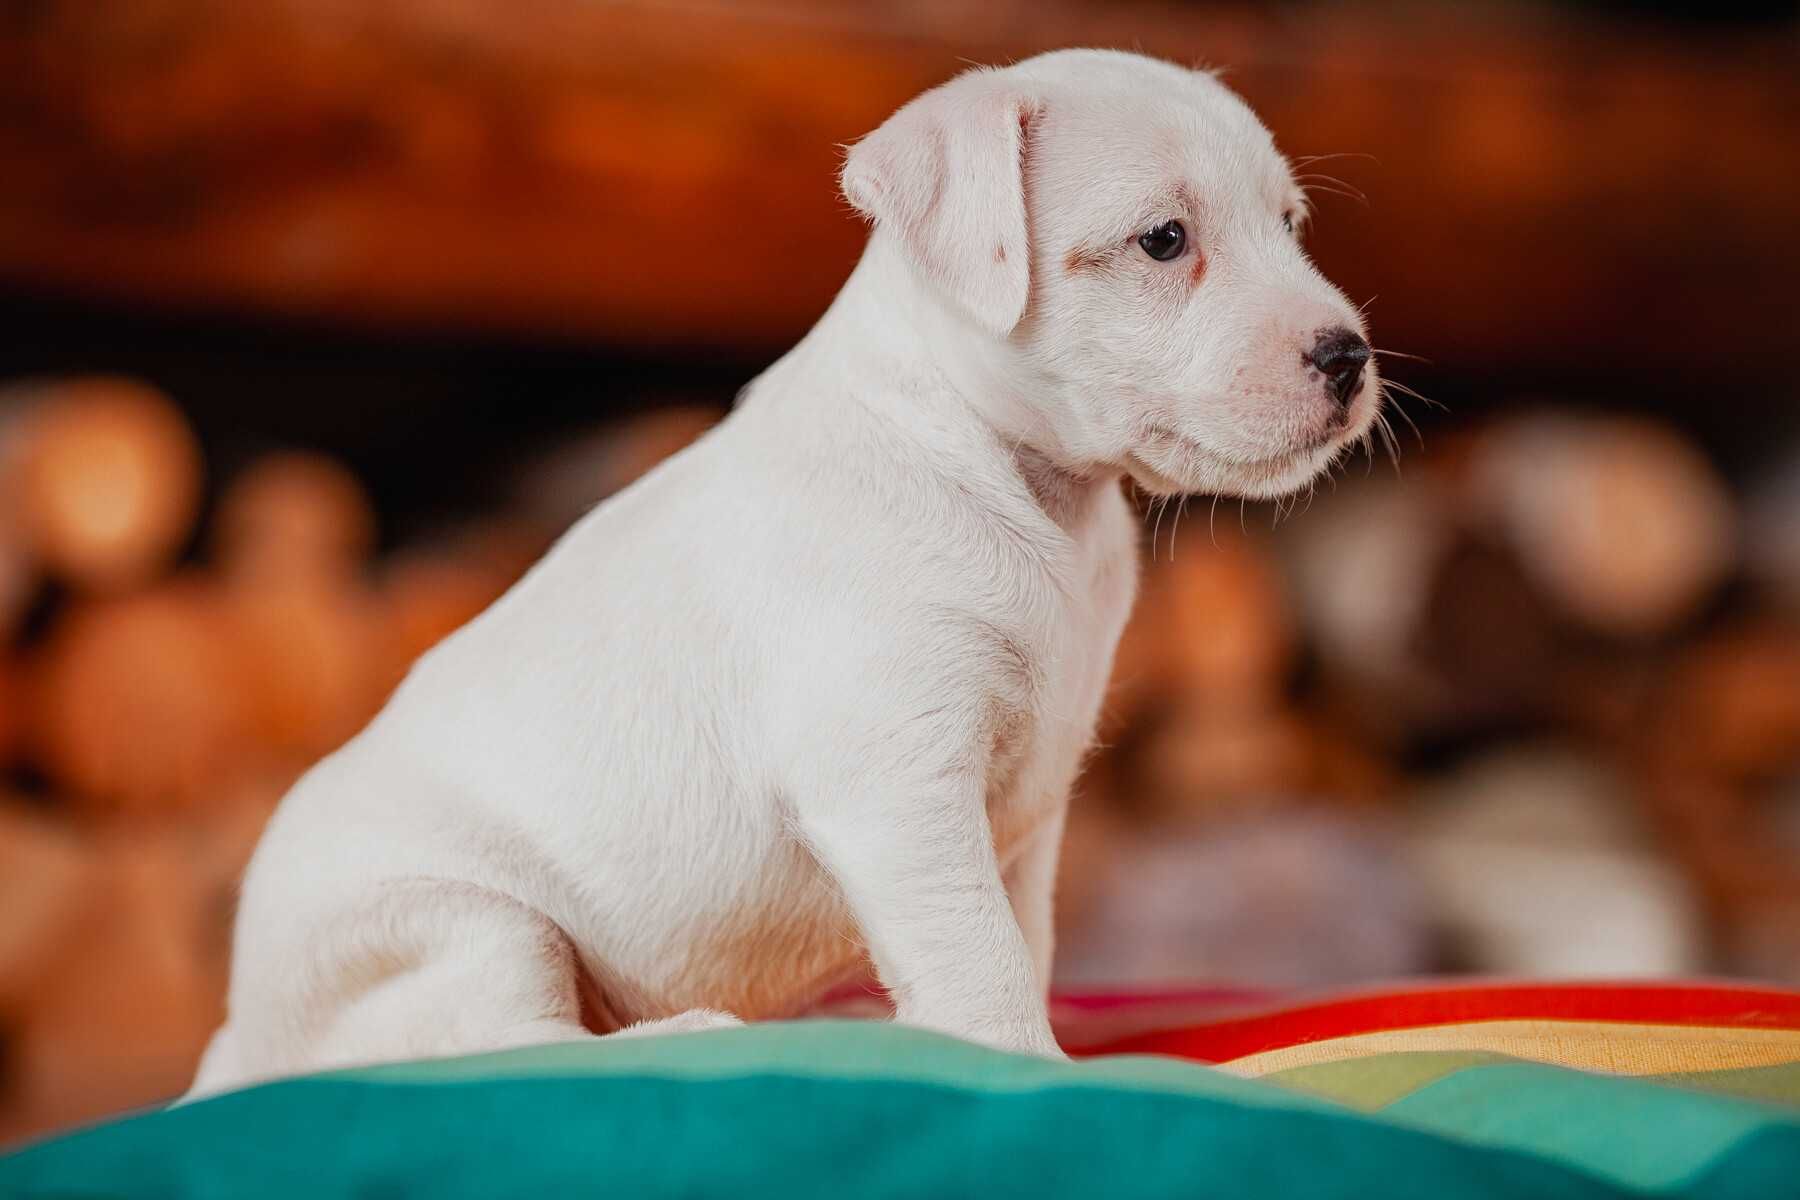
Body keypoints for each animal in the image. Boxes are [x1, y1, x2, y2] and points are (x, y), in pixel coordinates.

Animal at [189, 49, 1375, 1101]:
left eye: (1290, 225)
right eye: (1164, 240)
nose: (1349, 354)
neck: (1005, 478)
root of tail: (240, 1036)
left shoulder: (1030, 820)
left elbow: (1022, 941)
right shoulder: (900, 790)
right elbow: (980, 955)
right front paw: (1026, 1065)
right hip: (464, 929)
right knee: (507, 1045)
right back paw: (691, 1033)